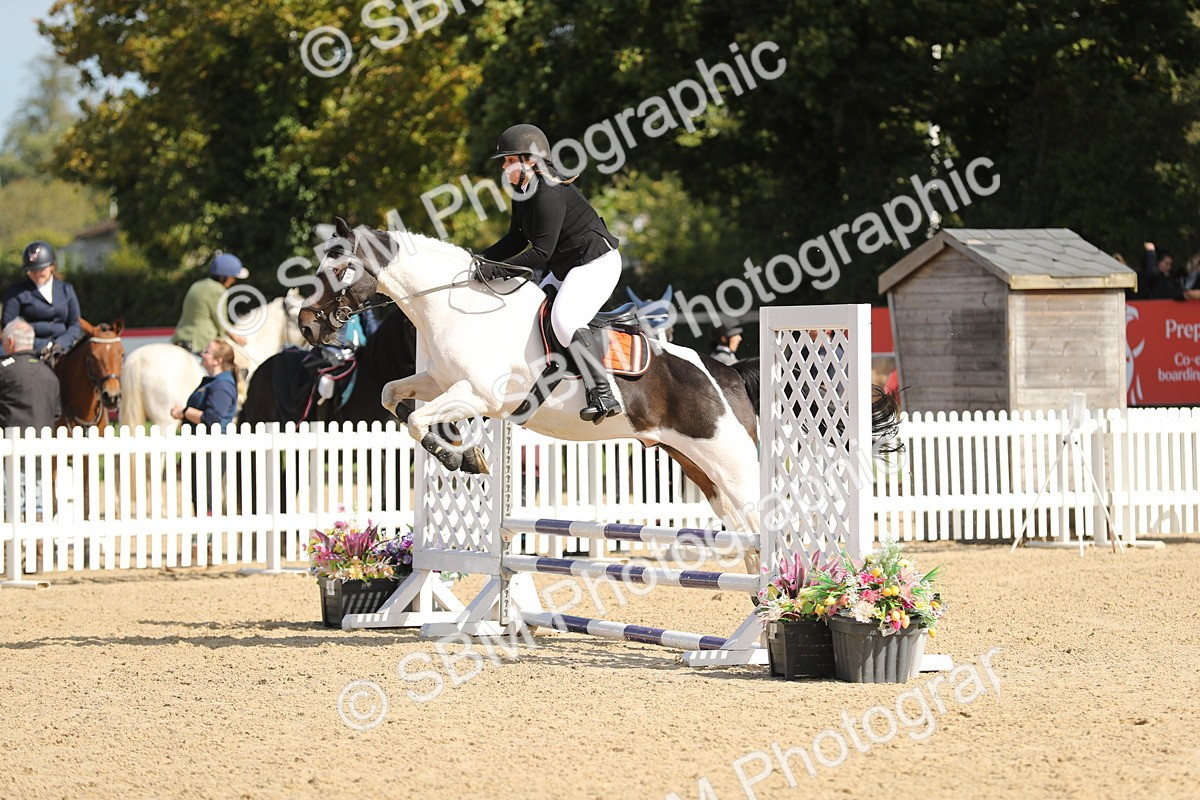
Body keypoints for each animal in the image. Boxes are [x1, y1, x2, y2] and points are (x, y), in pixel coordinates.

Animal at [298, 221, 897, 535]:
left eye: (340, 270)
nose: (305, 324)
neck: (456, 306)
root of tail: (725, 373)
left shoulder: (480, 393)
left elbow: (421, 418)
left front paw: (460, 456)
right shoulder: (439, 382)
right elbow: (395, 398)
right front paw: (463, 452)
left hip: (734, 464)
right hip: (702, 471)